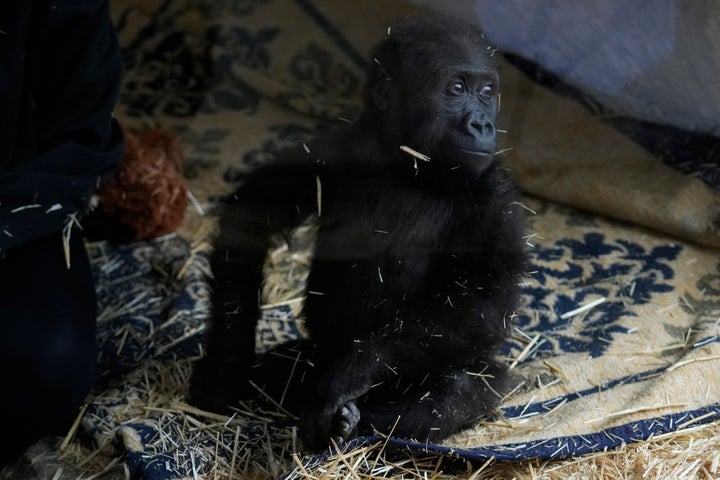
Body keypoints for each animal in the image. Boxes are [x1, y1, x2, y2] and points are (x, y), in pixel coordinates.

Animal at [190, 15, 528, 450]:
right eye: (456, 88)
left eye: (487, 92)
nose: (483, 123)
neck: (408, 164)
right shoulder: (330, 147)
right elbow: (252, 215)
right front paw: (225, 365)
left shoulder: (494, 195)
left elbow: (486, 300)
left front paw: (353, 373)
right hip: (317, 353)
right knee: (282, 367)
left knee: (458, 389)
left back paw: (359, 421)